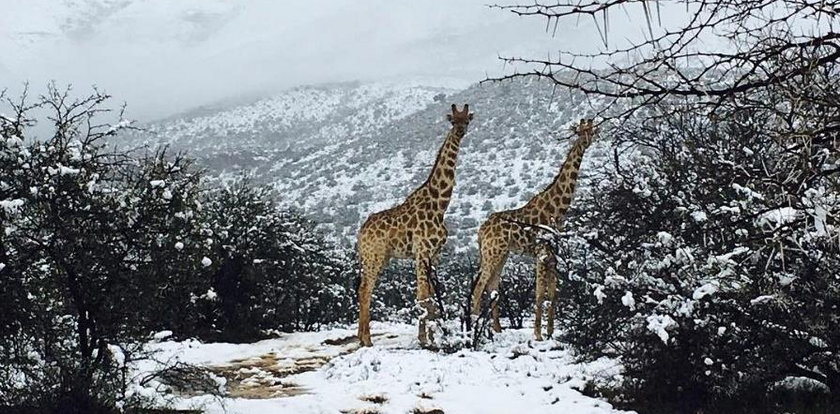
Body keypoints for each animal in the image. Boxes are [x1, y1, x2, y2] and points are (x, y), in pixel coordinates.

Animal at [354, 103, 472, 346]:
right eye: (452, 120)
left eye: (467, 120)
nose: (460, 131)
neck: (440, 205)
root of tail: (361, 232)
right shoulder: (422, 252)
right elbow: (423, 297)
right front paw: (425, 340)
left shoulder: (434, 254)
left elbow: (431, 298)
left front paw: (433, 338)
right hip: (374, 256)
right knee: (365, 289)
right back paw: (367, 340)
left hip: (378, 257)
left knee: (363, 289)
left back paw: (361, 337)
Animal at [470, 119, 600, 340]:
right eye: (580, 131)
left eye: (591, 130)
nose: (587, 140)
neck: (558, 209)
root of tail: (480, 231)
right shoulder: (542, 252)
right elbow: (539, 294)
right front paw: (538, 334)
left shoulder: (553, 255)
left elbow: (553, 294)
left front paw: (550, 332)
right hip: (492, 252)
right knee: (479, 287)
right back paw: (475, 329)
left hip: (501, 254)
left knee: (492, 286)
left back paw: (496, 329)